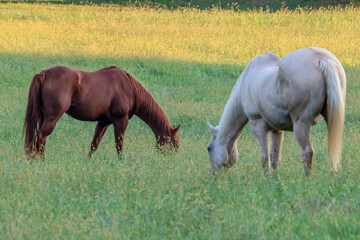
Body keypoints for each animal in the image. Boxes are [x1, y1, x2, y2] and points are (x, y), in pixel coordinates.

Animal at [22, 65, 180, 159]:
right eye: (174, 143)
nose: (171, 162)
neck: (130, 88)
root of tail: (43, 74)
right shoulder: (121, 121)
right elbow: (119, 145)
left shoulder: (104, 121)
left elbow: (94, 144)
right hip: (51, 119)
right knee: (41, 138)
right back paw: (41, 161)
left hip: (42, 118)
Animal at [208, 47, 346, 174]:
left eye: (209, 148)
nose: (212, 174)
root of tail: (321, 58)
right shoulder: (277, 130)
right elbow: (275, 157)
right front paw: (275, 178)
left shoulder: (257, 125)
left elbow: (264, 157)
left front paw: (267, 178)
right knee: (333, 150)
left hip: (301, 124)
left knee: (307, 152)